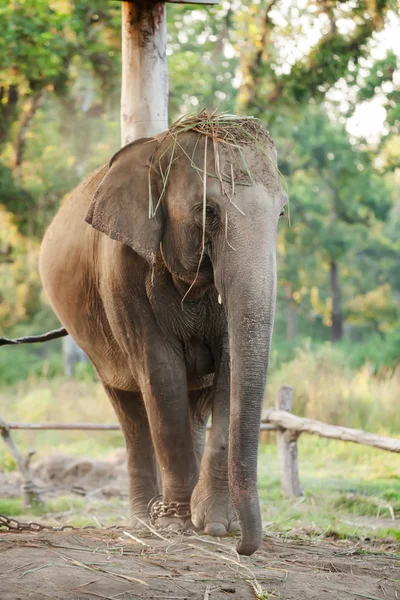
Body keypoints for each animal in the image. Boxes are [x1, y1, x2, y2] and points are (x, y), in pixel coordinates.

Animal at [38, 111, 288, 552]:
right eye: (208, 211)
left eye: (280, 215)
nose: (243, 547)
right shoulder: (121, 270)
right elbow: (160, 372)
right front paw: (175, 526)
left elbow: (229, 370)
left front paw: (216, 525)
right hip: (97, 346)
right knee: (130, 410)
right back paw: (143, 522)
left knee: (194, 405)